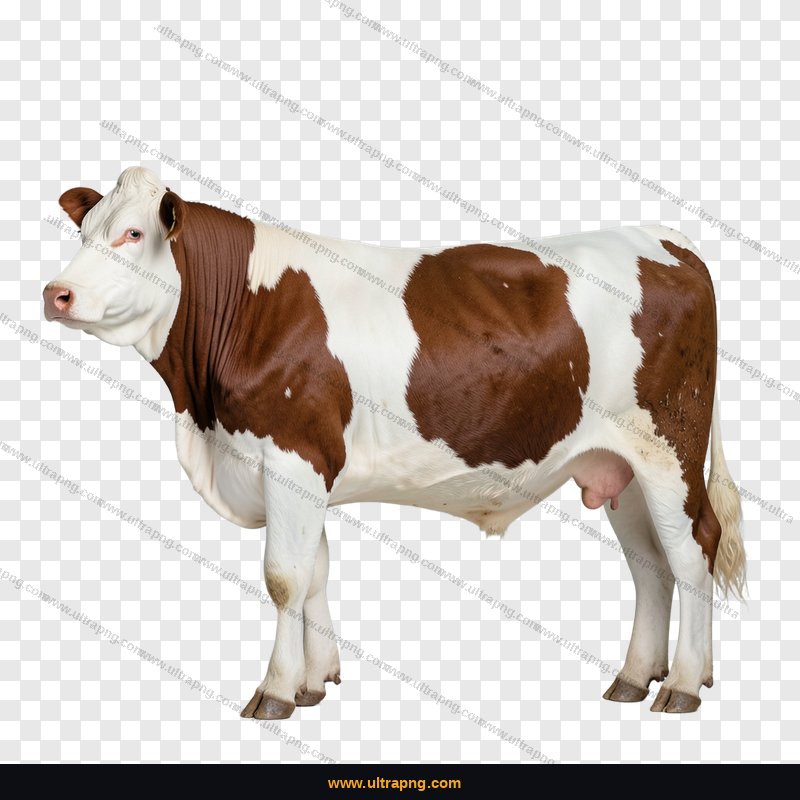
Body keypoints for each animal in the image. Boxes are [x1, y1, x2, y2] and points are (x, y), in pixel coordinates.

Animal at [43, 166, 745, 719]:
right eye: (84, 233)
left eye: (133, 234)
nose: (56, 293)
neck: (204, 416)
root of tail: (667, 240)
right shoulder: (307, 470)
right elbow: (315, 575)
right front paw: (314, 684)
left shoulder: (292, 457)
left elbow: (283, 579)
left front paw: (274, 693)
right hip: (616, 464)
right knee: (650, 565)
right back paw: (635, 677)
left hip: (668, 449)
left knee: (692, 552)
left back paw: (683, 686)